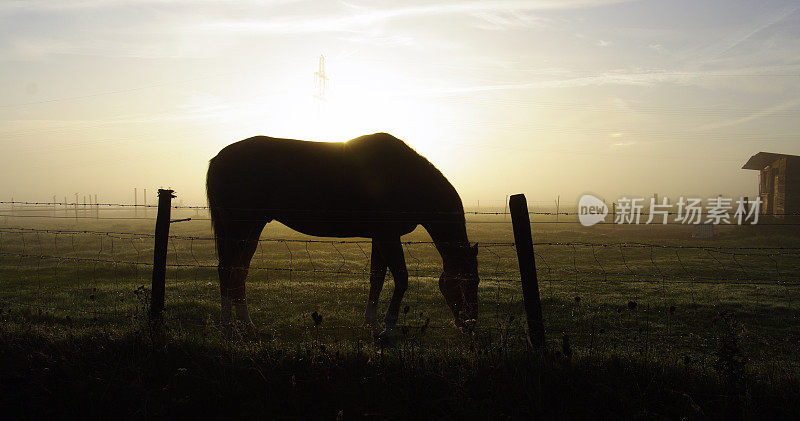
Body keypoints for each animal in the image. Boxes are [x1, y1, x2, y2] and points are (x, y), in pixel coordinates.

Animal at [208, 133, 482, 340]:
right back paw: (230, 329)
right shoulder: (388, 236)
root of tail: (217, 158)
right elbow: (401, 278)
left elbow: (376, 277)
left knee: (239, 271)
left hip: (252, 228)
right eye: (467, 281)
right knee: (227, 270)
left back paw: (248, 325)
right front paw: (388, 330)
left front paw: (371, 324)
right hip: (238, 228)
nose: (470, 324)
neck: (405, 177)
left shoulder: (380, 237)